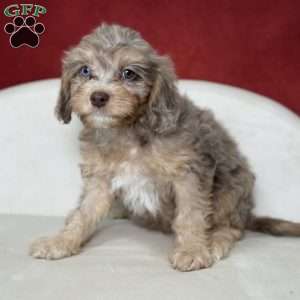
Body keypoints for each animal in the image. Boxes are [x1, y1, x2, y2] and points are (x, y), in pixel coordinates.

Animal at [29, 24, 300, 272]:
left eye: (129, 73)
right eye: (85, 70)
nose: (98, 97)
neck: (128, 130)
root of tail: (247, 212)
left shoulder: (190, 172)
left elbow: (191, 214)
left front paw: (192, 249)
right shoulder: (100, 179)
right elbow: (84, 212)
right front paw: (61, 241)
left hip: (234, 187)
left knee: (233, 227)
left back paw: (216, 241)